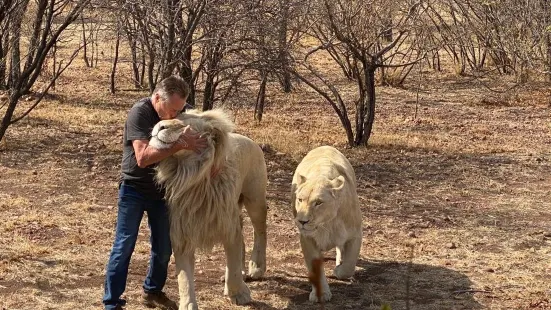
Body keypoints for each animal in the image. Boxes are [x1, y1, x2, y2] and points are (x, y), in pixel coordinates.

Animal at [148, 108, 266, 308]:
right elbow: (184, 278)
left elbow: (233, 265)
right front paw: (188, 305)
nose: (159, 126)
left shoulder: (228, 226)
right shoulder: (183, 233)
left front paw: (238, 293)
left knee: (260, 231)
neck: (193, 178)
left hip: (255, 199)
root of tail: (250, 140)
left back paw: (257, 267)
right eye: (171, 117)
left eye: (183, 125)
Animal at [292, 146, 364, 302]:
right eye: (300, 199)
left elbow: (349, 265)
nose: (302, 221)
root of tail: (324, 146)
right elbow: (315, 268)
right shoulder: (307, 238)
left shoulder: (355, 234)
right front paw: (321, 294)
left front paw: (338, 270)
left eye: (318, 203)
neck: (326, 223)